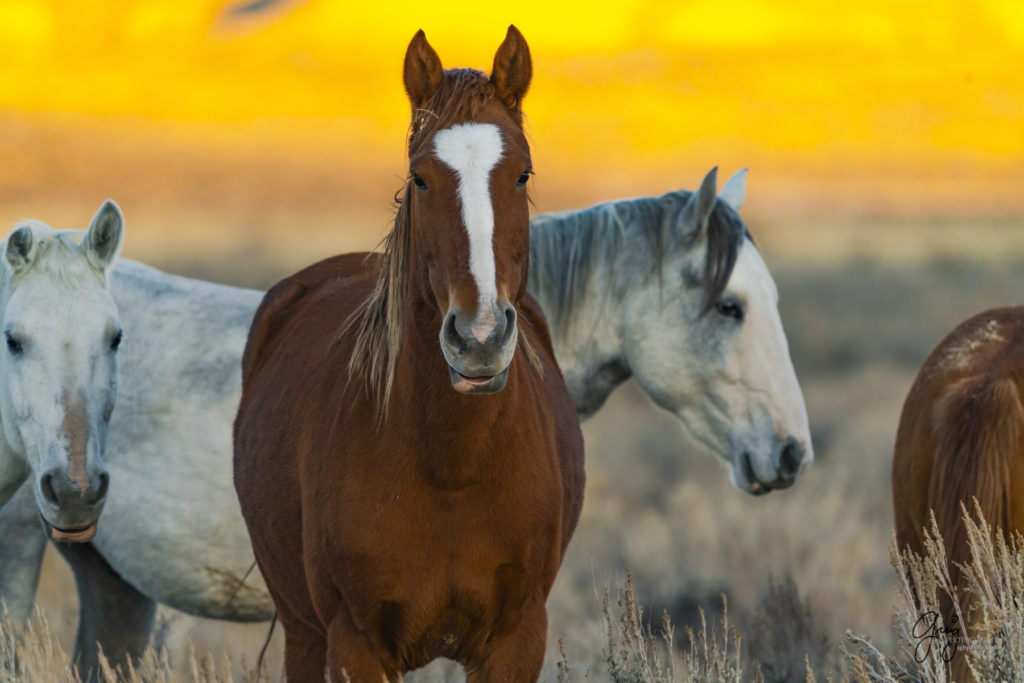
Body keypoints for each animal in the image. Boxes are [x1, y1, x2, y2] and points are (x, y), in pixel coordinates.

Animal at [234, 26, 585, 683]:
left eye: (523, 174)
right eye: (420, 178)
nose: (478, 338)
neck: (452, 464)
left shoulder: (517, 640)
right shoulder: (357, 644)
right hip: (302, 630)